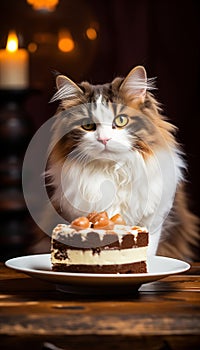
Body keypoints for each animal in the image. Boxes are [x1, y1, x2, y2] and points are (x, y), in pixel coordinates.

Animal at [41, 65, 198, 262]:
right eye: (87, 125)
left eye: (121, 120)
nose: (104, 139)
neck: (112, 170)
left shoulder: (154, 220)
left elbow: (149, 250)